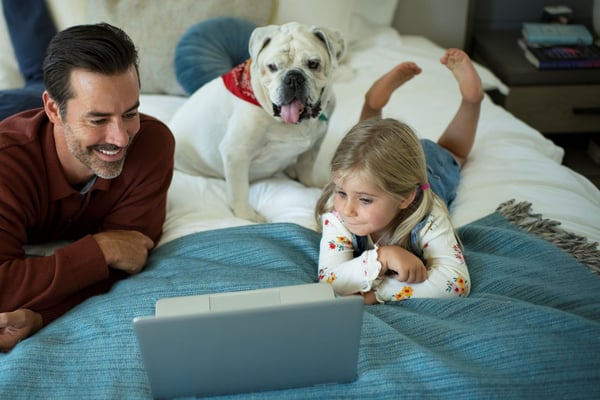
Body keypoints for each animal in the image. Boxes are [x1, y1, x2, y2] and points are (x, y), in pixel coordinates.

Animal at [171, 22, 344, 222]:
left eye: (313, 64)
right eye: (272, 67)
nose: (293, 77)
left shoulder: (313, 147)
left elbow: (306, 167)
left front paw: (309, 184)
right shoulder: (236, 153)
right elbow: (239, 191)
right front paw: (246, 216)